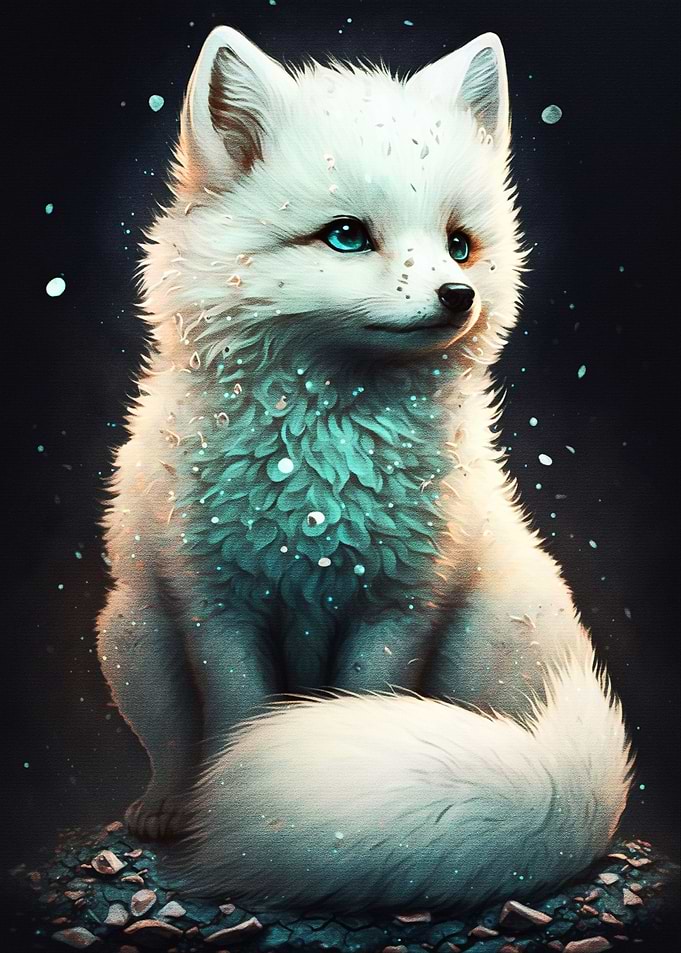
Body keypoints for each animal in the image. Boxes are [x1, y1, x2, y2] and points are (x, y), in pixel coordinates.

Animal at [96, 26, 634, 912]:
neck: (322, 477)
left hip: (490, 637)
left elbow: (360, 699)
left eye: (459, 244)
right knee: (169, 744)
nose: (457, 296)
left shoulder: (398, 606)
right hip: (130, 634)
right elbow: (236, 709)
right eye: (346, 235)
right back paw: (169, 805)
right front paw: (220, 801)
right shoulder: (218, 603)